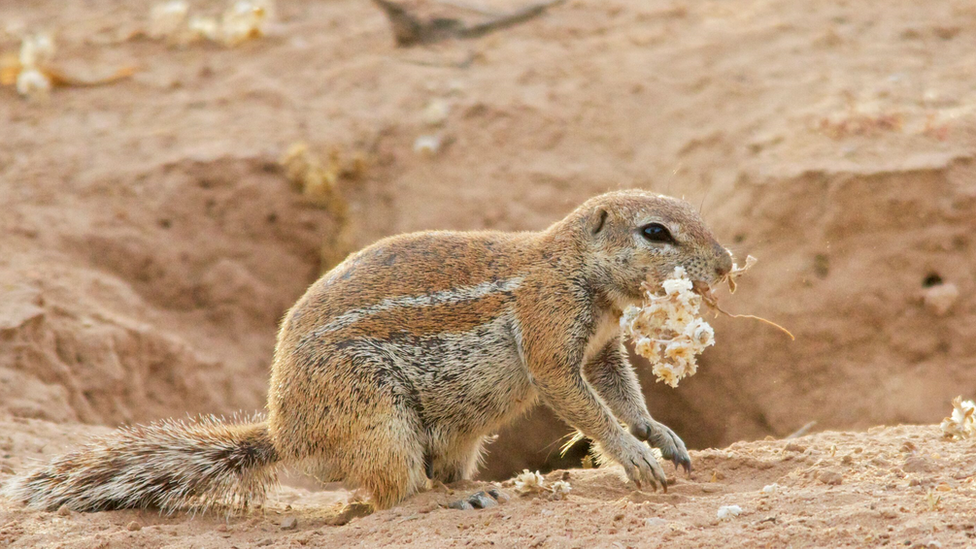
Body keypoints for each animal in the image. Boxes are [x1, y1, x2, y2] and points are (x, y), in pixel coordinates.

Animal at [1, 191, 732, 512]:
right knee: (387, 496)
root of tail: (283, 432)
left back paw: (475, 486)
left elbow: (622, 392)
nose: (726, 264)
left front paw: (660, 434)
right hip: (376, 417)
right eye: (655, 232)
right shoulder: (550, 333)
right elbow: (581, 401)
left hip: (451, 435)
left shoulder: (603, 350)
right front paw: (635, 457)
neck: (577, 268)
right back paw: (453, 501)